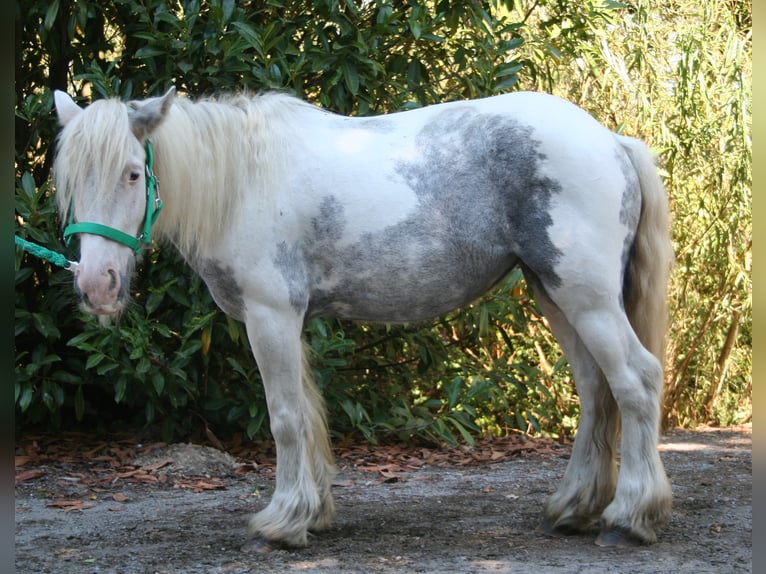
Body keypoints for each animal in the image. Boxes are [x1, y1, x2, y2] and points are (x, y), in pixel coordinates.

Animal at [54, 88, 676, 552]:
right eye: (70, 181)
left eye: (133, 174)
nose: (96, 286)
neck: (242, 183)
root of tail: (611, 141)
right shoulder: (290, 321)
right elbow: (308, 414)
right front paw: (311, 513)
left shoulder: (270, 316)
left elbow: (285, 418)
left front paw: (281, 522)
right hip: (555, 294)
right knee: (596, 390)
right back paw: (573, 507)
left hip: (586, 298)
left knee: (636, 381)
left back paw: (631, 516)